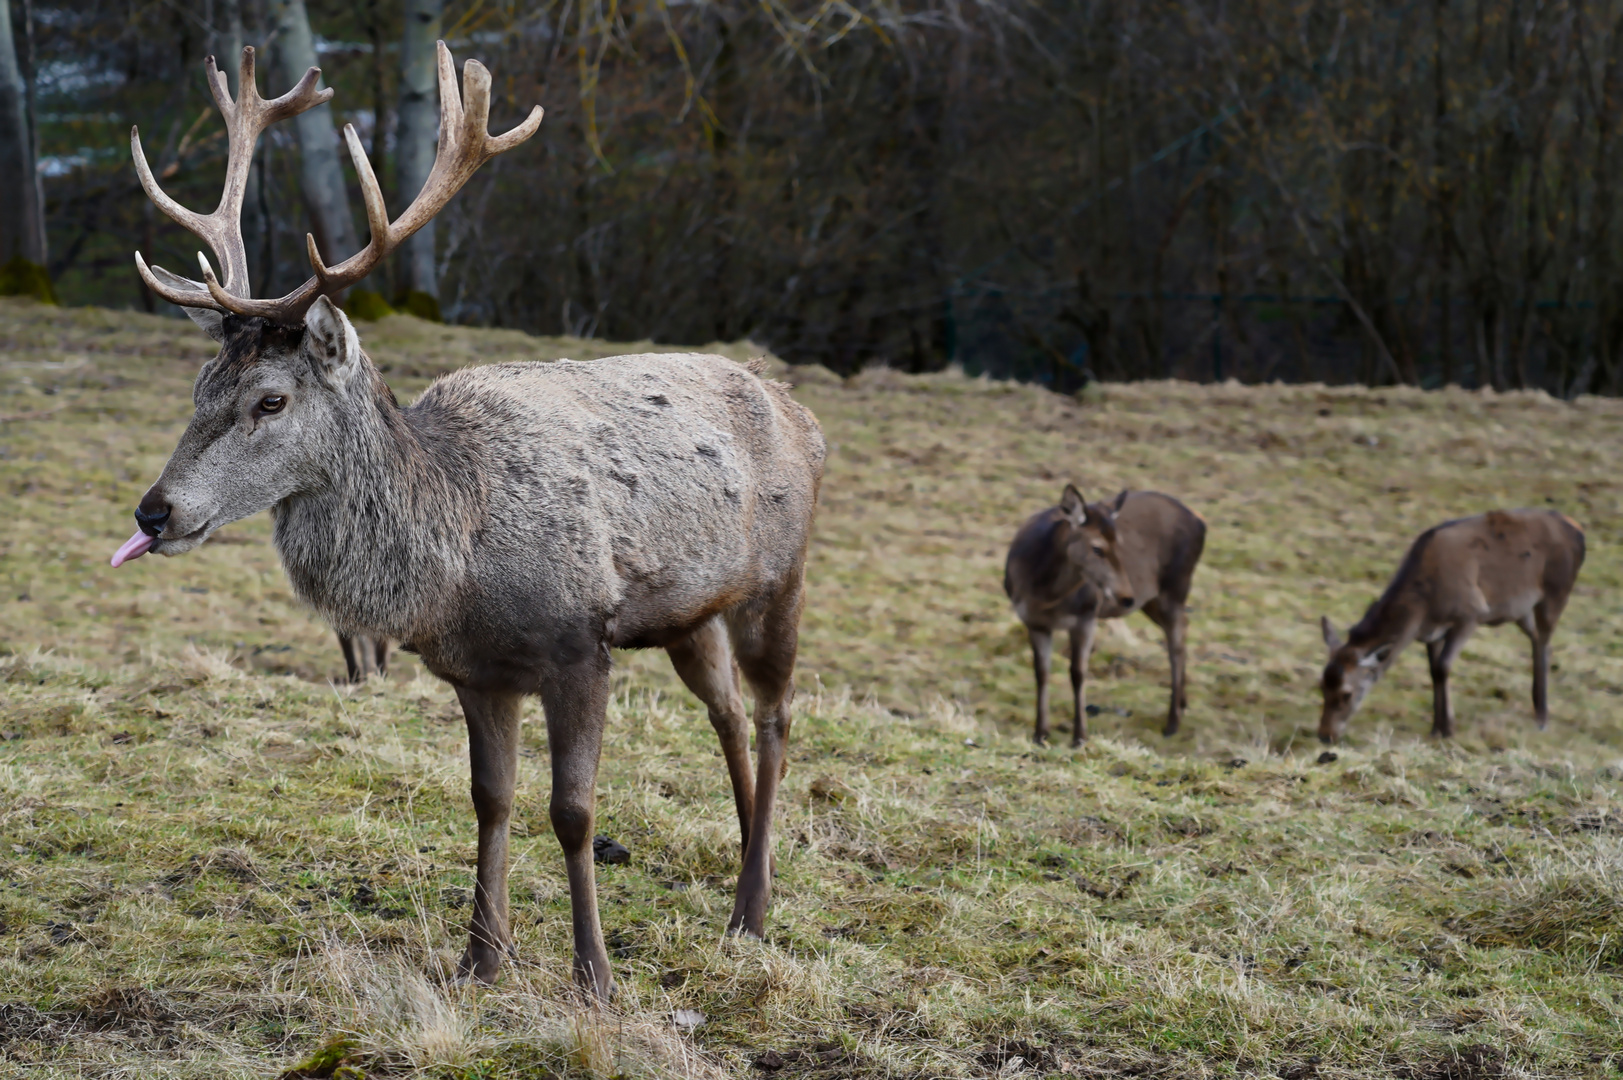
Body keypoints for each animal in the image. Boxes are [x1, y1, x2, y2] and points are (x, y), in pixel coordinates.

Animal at [109, 46, 824, 1000]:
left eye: (271, 400)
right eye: (200, 388)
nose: (156, 510)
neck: (459, 561)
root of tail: (801, 413)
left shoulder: (577, 646)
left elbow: (572, 810)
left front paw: (592, 975)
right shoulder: (476, 672)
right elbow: (490, 799)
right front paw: (479, 958)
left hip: (781, 580)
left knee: (778, 714)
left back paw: (752, 910)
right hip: (687, 614)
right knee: (729, 715)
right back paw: (752, 874)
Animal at [999, 487, 1207, 740]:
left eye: (1120, 544)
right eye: (1097, 548)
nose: (1126, 596)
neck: (1044, 597)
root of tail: (1200, 519)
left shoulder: (1087, 616)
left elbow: (1078, 673)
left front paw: (1080, 736)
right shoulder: (1034, 622)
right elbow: (1041, 673)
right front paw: (1040, 734)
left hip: (1175, 586)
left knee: (1175, 644)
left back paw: (1172, 721)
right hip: (1153, 600)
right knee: (1183, 629)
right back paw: (1183, 704)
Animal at [1317, 506, 1584, 740]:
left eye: (1347, 694)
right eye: (1321, 685)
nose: (1325, 735)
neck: (1422, 608)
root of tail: (1578, 528)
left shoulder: (1470, 613)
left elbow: (1443, 667)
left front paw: (1448, 729)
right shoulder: (1431, 632)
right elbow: (1433, 671)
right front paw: (1437, 728)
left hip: (1557, 592)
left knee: (1546, 641)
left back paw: (1542, 718)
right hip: (1520, 610)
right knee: (1539, 641)